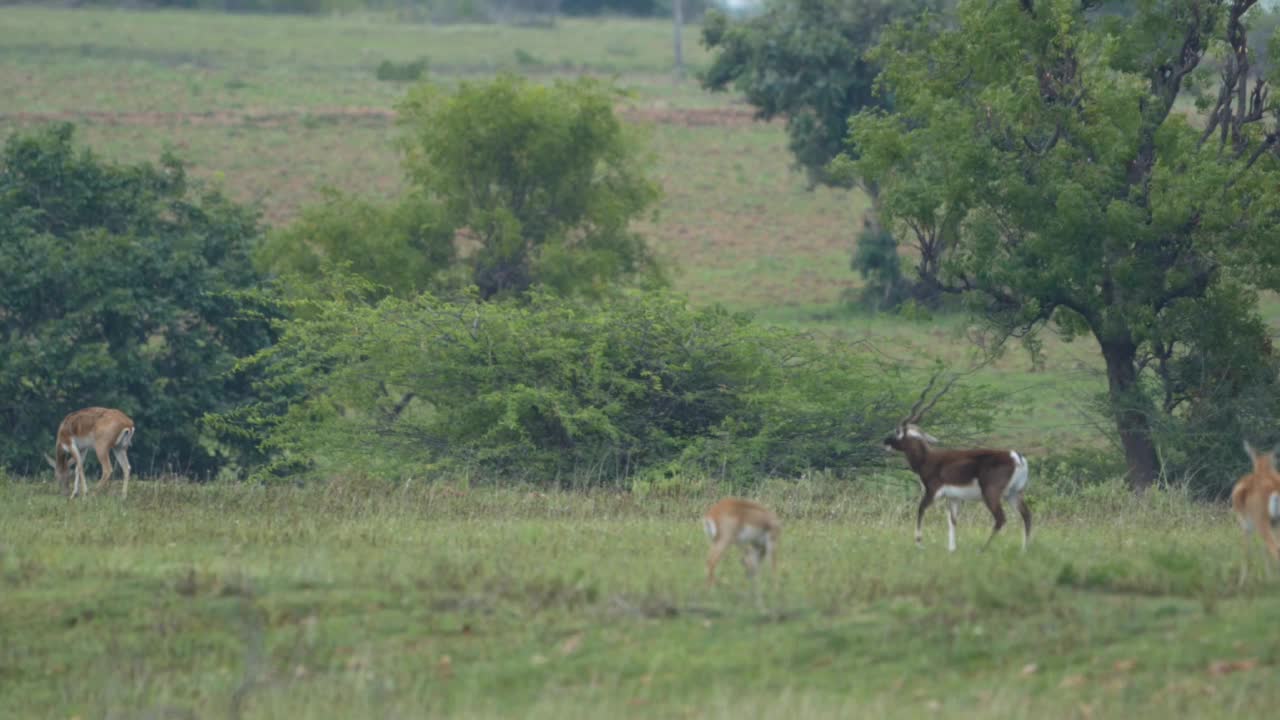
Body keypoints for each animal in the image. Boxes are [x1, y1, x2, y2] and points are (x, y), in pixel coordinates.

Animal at [885, 368, 1034, 548]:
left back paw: (983, 549)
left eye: (897, 431)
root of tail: (1016, 456)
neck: (927, 459)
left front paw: (919, 543)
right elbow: (952, 521)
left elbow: (920, 510)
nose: (885, 441)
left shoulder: (932, 492)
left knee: (1001, 519)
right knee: (1027, 516)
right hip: (1014, 493)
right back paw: (1023, 550)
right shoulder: (954, 498)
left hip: (991, 494)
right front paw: (951, 549)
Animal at [1228, 438, 1280, 584]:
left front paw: (1242, 582)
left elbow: (1246, 552)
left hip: (1261, 523)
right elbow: (1264, 551)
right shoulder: (1275, 525)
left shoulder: (1246, 526)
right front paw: (1269, 578)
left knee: (1275, 548)